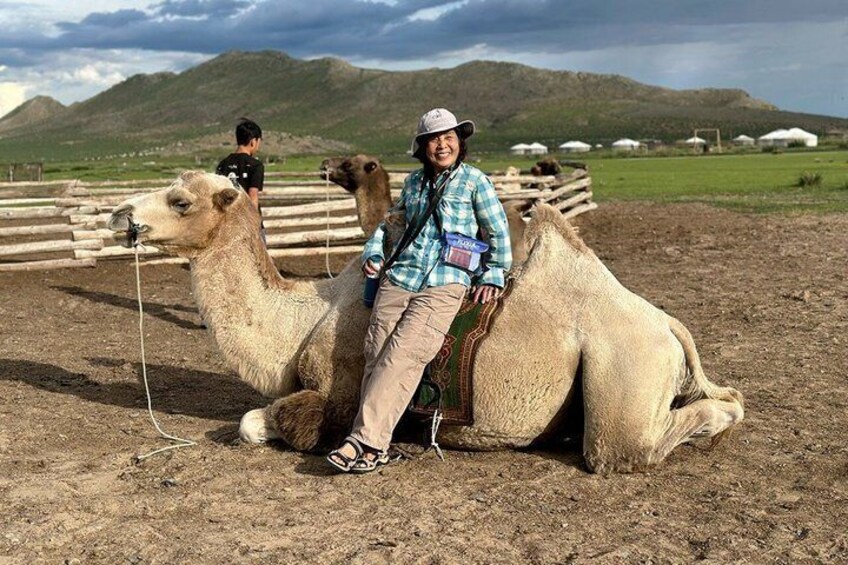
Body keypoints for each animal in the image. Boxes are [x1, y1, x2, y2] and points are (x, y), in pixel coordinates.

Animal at [108, 171, 744, 473]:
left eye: (181, 201)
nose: (119, 214)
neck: (304, 319)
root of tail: (665, 323)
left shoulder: (338, 393)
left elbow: (267, 423)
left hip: (623, 369)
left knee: (625, 446)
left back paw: (714, 428)